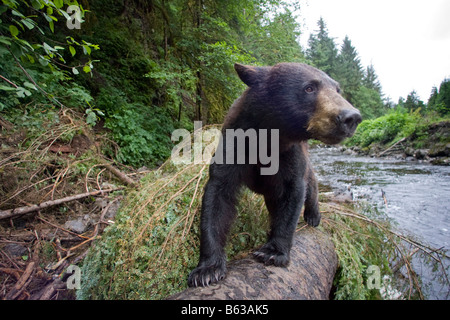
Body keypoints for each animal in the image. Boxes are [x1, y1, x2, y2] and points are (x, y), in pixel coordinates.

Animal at [187, 62, 362, 288]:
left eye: (337, 89)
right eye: (309, 88)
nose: (351, 117)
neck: (269, 138)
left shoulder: (290, 157)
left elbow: (293, 194)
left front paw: (273, 251)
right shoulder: (235, 145)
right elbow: (217, 198)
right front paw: (207, 270)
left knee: (311, 186)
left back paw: (313, 216)